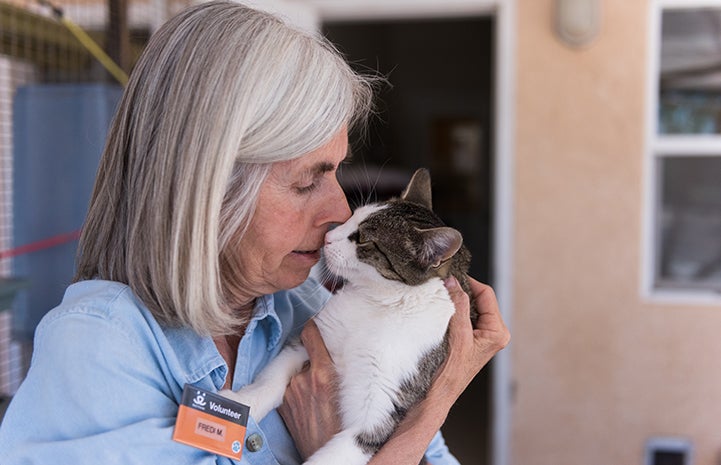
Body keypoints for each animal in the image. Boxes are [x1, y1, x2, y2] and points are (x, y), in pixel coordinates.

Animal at [222, 169, 476, 464]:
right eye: (352, 216)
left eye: (363, 239)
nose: (327, 238)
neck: (380, 303)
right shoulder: (312, 339)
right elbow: (271, 379)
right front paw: (242, 403)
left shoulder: (380, 409)